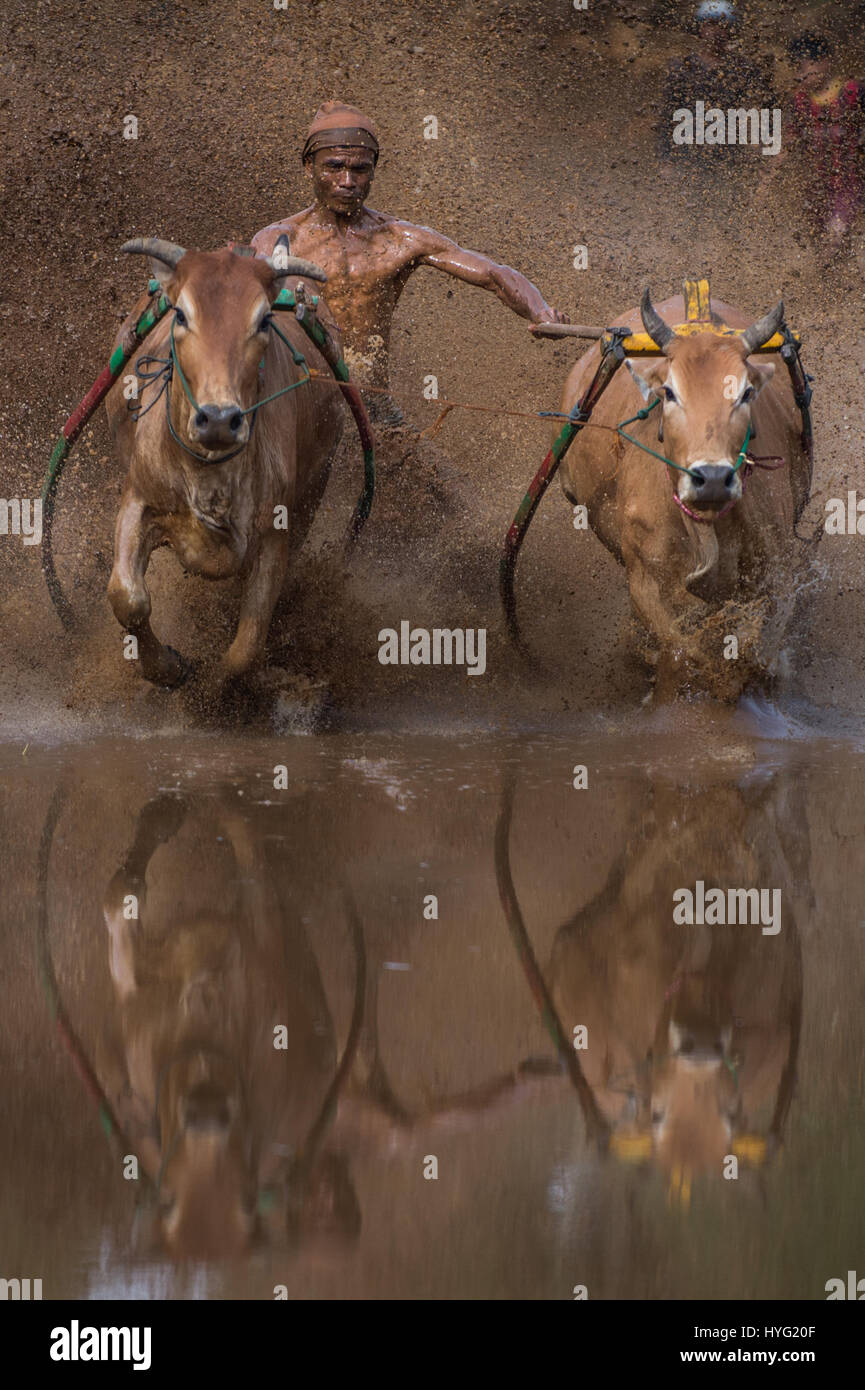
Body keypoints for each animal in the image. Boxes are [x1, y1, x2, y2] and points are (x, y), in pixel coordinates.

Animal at [103, 244, 343, 689]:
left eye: (263, 319)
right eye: (181, 315)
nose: (218, 419)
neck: (209, 475)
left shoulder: (275, 533)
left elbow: (245, 648)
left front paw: (215, 686)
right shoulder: (138, 499)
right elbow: (127, 598)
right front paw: (168, 668)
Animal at [559, 289, 817, 700]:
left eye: (745, 392)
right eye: (669, 392)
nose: (711, 478)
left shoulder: (778, 571)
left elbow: (757, 650)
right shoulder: (645, 583)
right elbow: (683, 654)